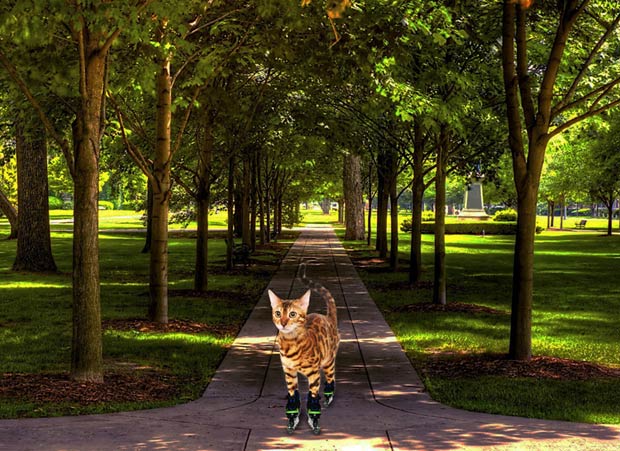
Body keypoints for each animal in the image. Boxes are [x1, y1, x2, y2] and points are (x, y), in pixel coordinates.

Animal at [268, 264, 340, 434]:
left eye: (292, 314)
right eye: (278, 313)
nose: (283, 323)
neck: (290, 343)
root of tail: (328, 318)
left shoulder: (313, 373)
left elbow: (313, 397)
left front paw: (313, 419)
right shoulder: (288, 371)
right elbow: (293, 395)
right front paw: (293, 417)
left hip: (328, 361)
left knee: (330, 378)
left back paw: (328, 395)